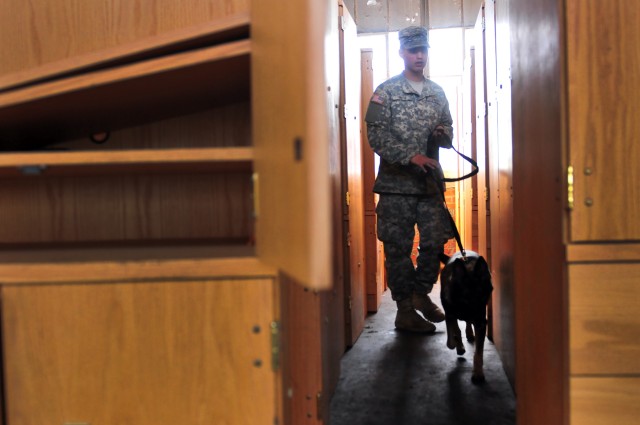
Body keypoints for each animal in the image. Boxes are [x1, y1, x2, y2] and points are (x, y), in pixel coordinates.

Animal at [440, 250, 496, 382]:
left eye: (482, 297)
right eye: (466, 298)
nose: (482, 321)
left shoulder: (480, 322)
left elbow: (478, 353)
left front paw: (478, 373)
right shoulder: (449, 314)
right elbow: (452, 337)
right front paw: (457, 345)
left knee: (468, 322)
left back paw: (470, 333)